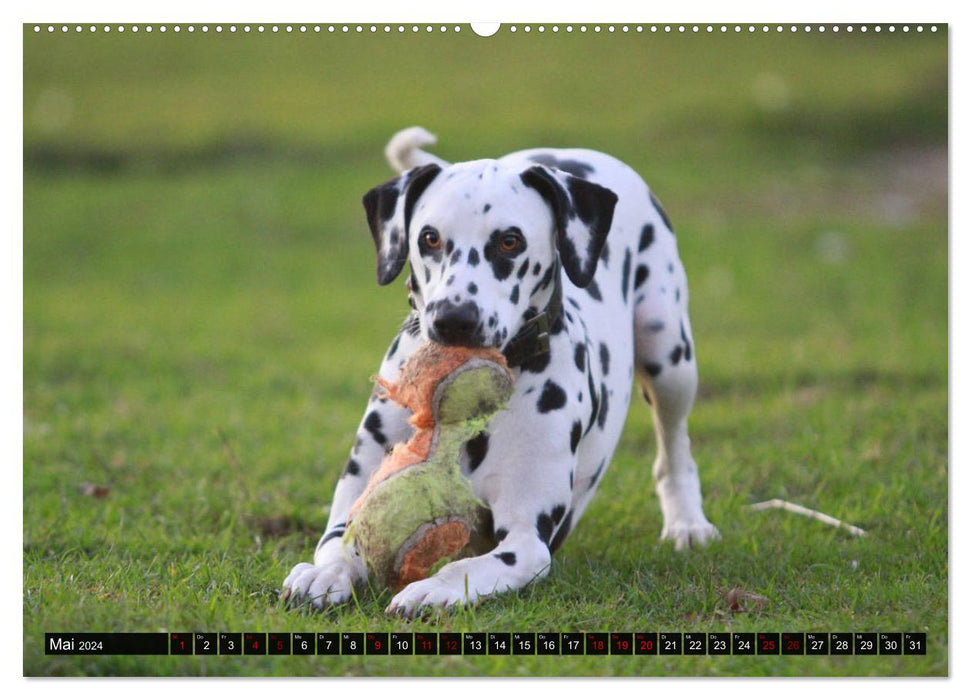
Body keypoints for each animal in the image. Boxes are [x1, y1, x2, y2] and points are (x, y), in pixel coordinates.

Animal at [282, 127, 720, 616]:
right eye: (429, 238)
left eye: (510, 241)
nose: (455, 318)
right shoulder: (355, 499)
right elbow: (341, 544)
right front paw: (322, 574)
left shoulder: (525, 541)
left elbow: (466, 566)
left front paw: (432, 589)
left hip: (669, 355)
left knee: (674, 443)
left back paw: (687, 523)